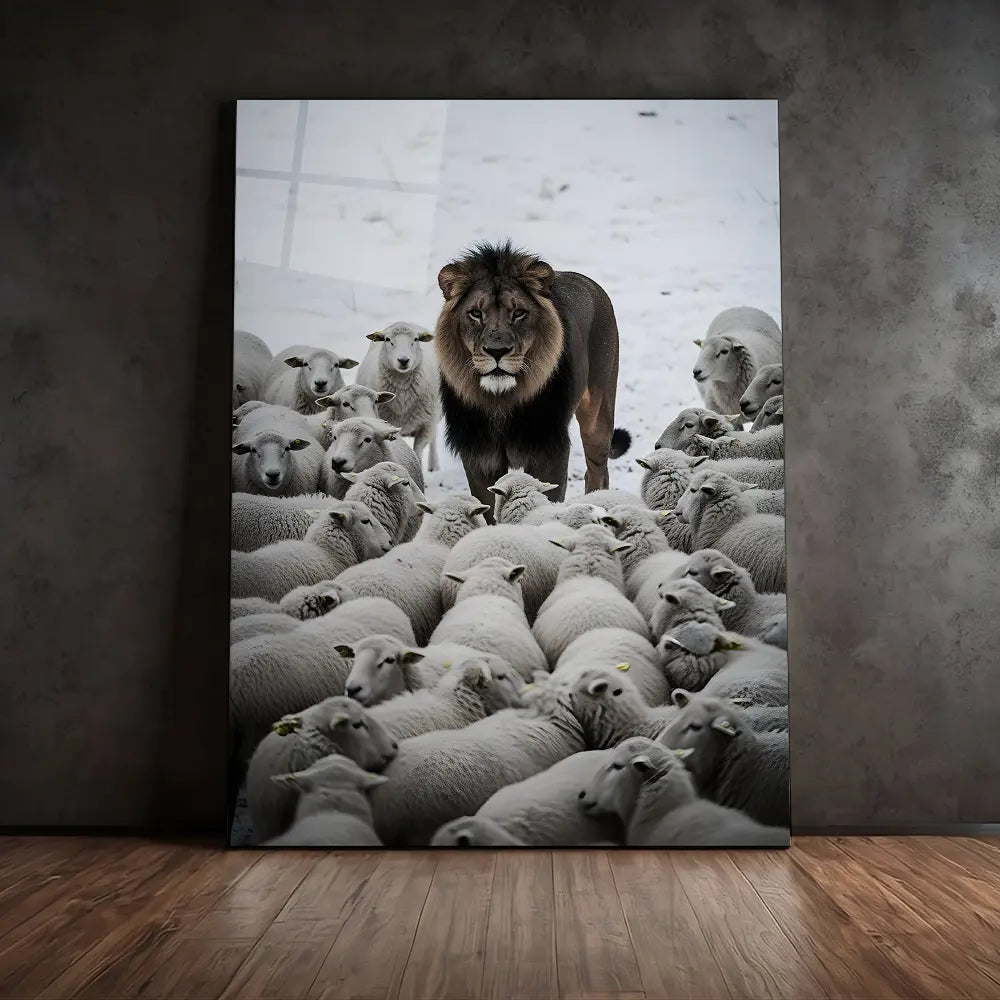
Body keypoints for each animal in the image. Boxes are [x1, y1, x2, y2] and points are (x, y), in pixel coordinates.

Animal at [355, 321, 441, 472]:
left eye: (415, 339)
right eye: (388, 339)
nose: (403, 360)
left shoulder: (426, 425)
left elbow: (417, 453)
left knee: (434, 439)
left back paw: (434, 465)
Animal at [434, 240, 630, 516]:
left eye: (518, 313)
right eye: (475, 313)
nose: (497, 351)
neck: (500, 401)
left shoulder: (547, 449)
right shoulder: (480, 453)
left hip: (598, 412)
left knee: (597, 472)